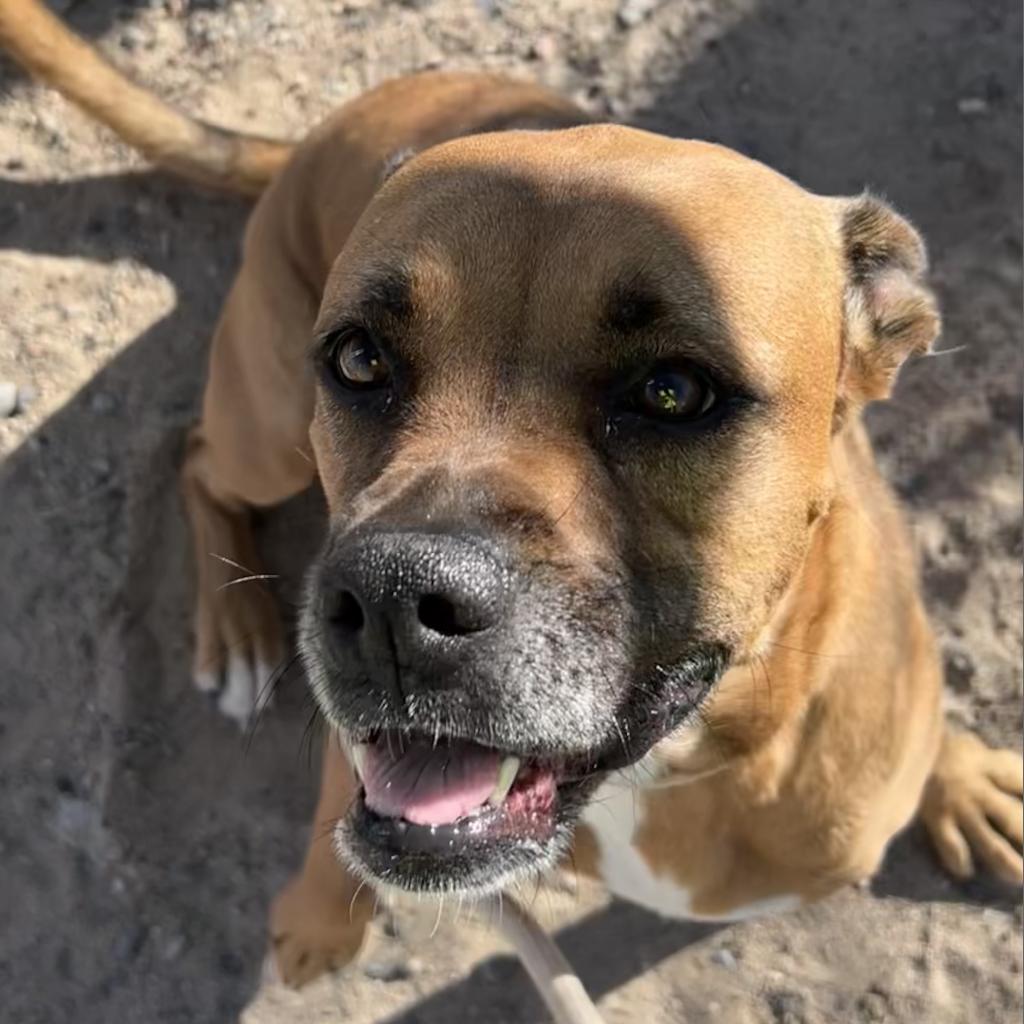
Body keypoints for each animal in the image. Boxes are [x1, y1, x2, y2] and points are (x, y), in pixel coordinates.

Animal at [4, 0, 1019, 999]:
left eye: (673, 392)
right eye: (359, 358)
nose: (389, 601)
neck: (666, 773)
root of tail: (316, 136)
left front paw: (962, 777)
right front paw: (318, 914)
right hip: (268, 424)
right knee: (196, 455)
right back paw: (236, 628)